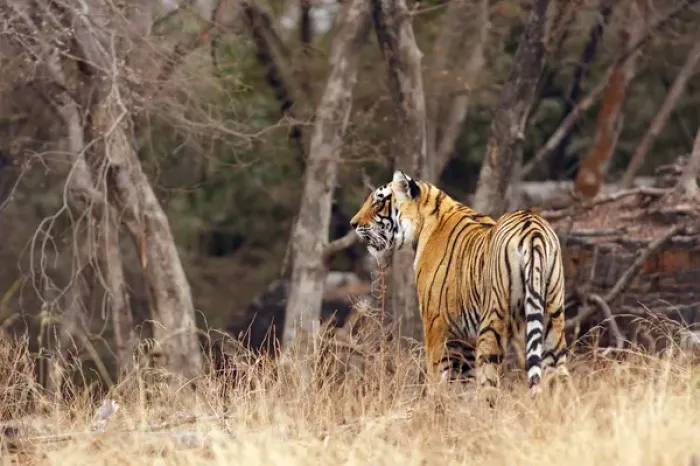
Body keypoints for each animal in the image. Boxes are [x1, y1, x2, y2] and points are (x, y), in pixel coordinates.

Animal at [349, 170, 569, 395]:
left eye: (377, 202)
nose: (353, 224)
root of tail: (533, 227)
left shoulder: (434, 322)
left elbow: (437, 373)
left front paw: (436, 401)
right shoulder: (464, 338)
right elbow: (463, 383)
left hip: (494, 317)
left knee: (490, 379)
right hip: (552, 315)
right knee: (559, 374)